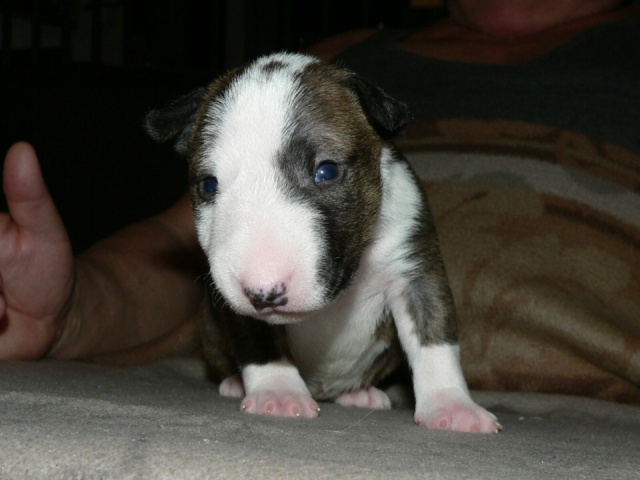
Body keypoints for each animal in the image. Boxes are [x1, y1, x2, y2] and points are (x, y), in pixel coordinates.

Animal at [145, 52, 500, 433]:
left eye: (327, 170)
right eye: (208, 185)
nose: (264, 292)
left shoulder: (415, 267)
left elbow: (434, 337)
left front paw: (453, 406)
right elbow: (258, 340)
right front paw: (278, 392)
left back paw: (360, 394)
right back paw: (236, 382)